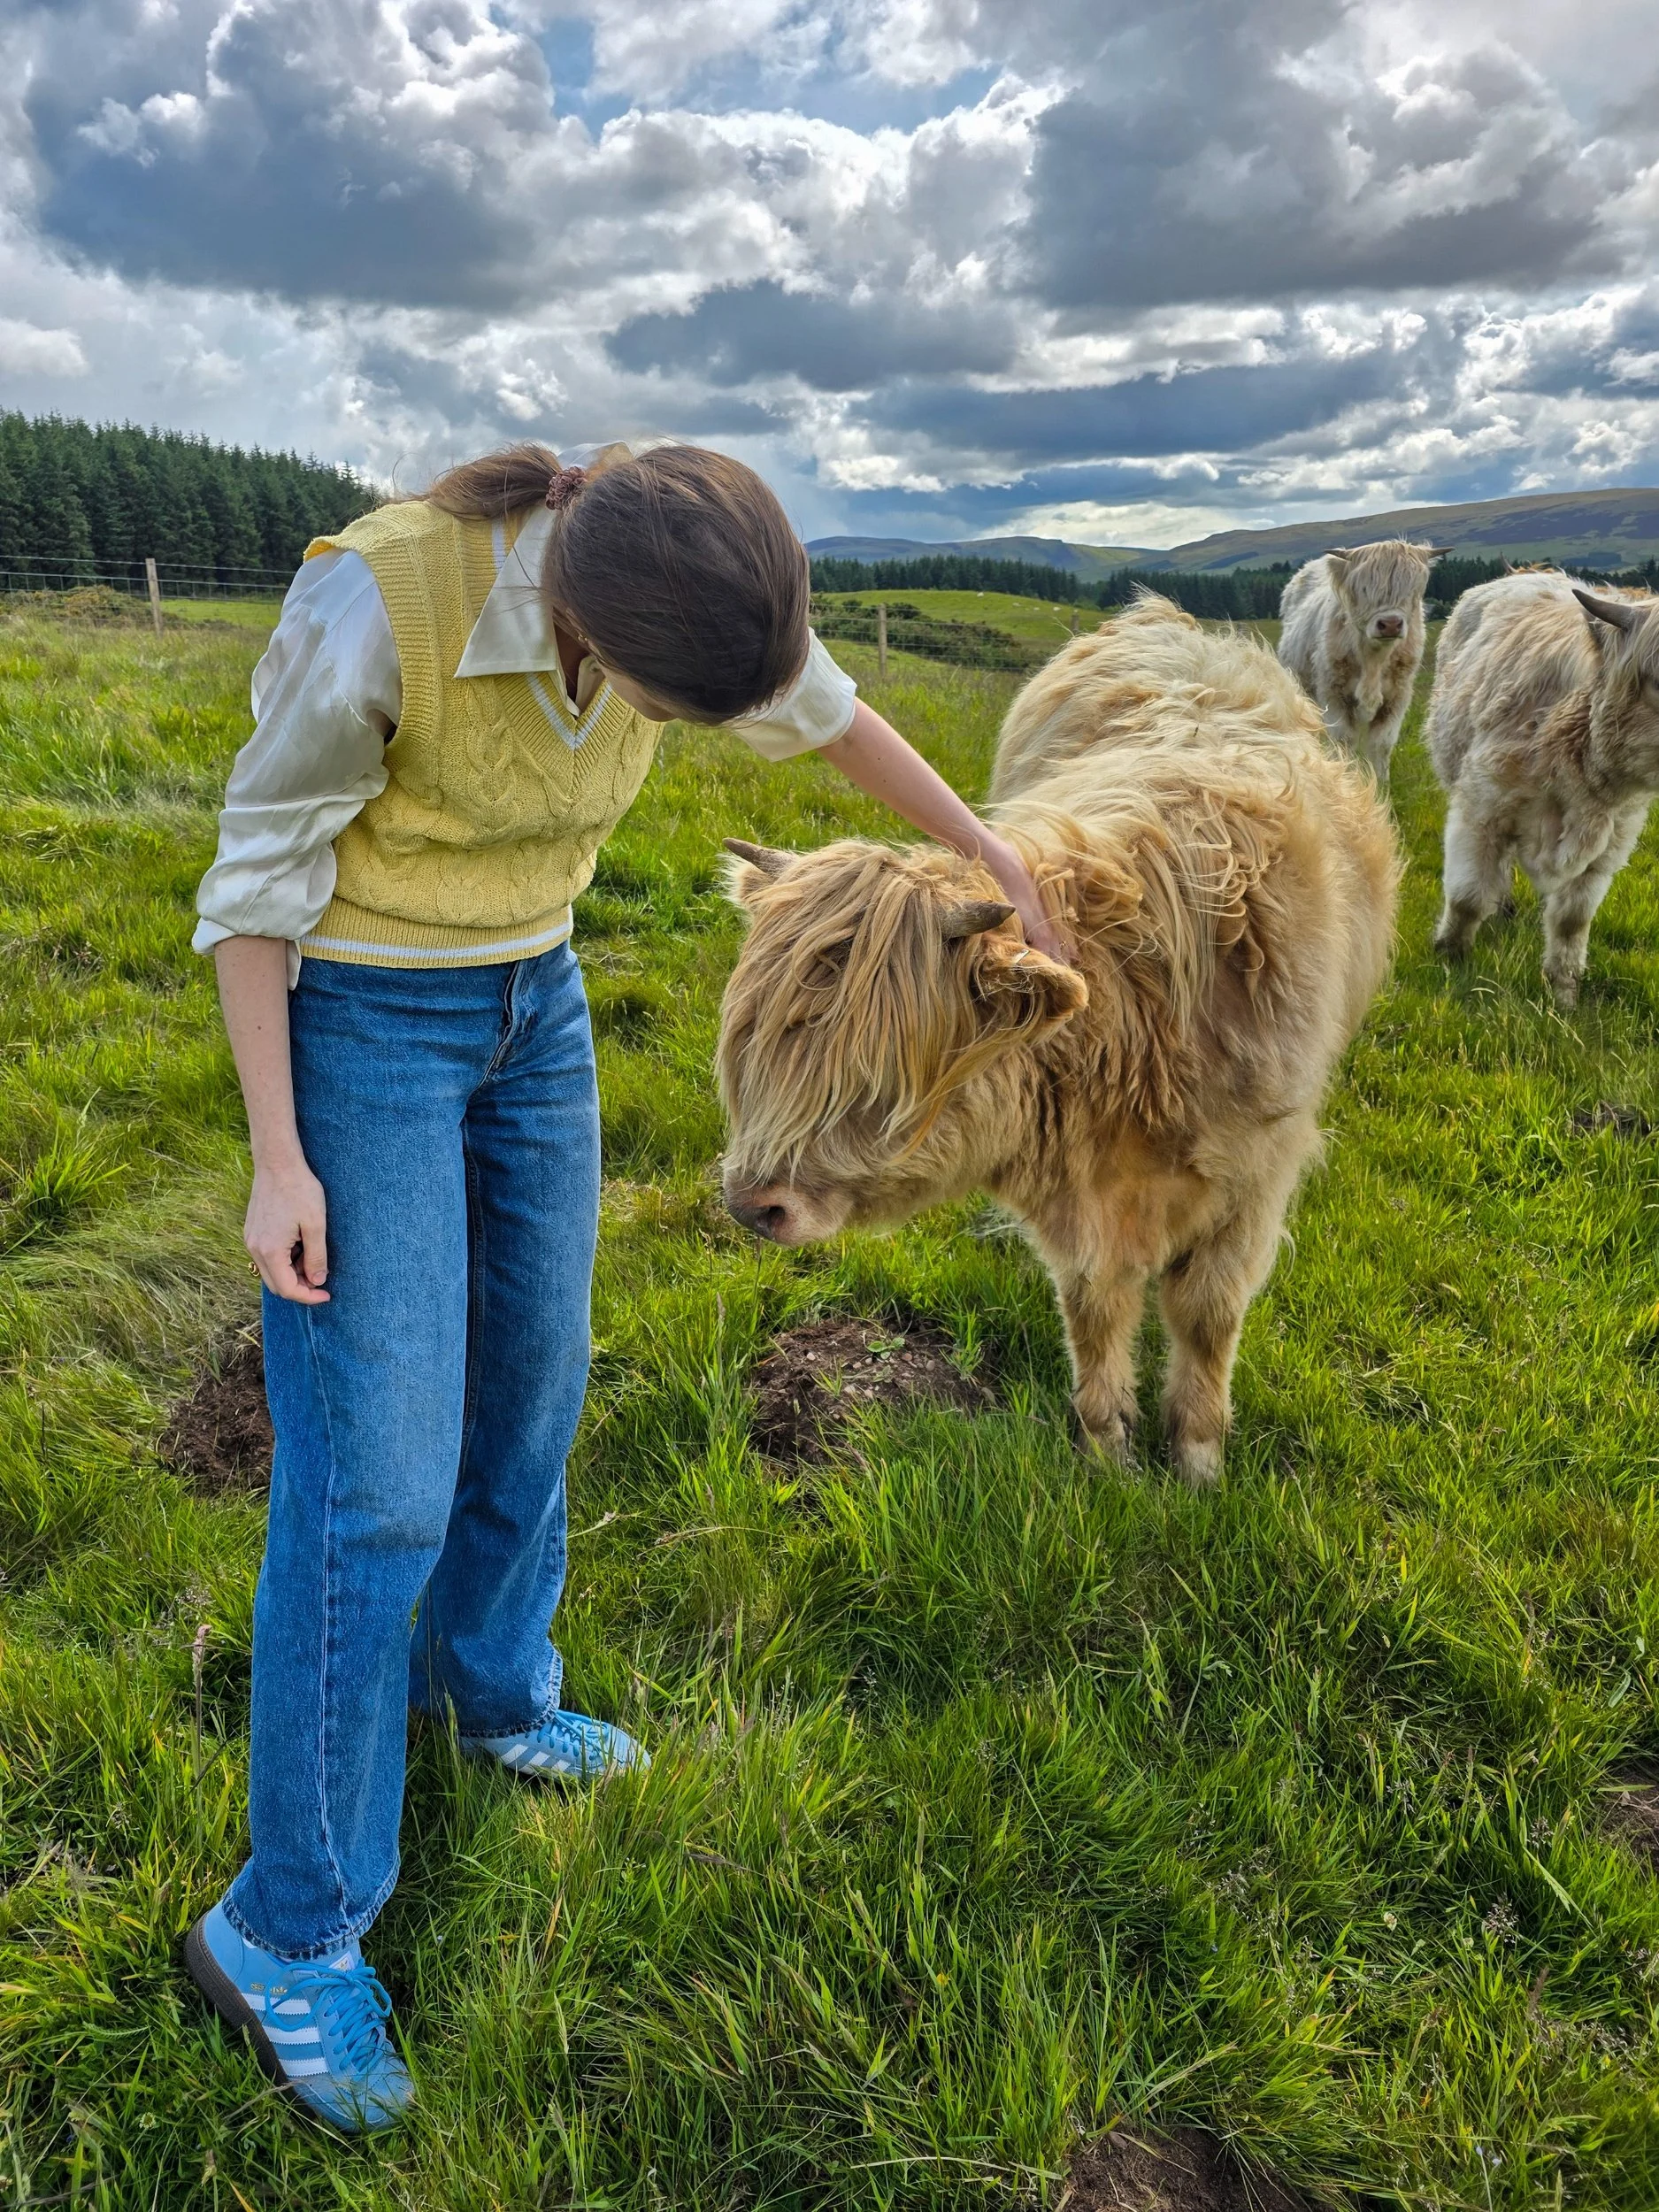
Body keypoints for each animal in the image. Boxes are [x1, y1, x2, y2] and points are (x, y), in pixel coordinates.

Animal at [717, 597, 1399, 1484]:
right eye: (751, 1048)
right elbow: (1096, 1308)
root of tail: (1164, 619)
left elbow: (1206, 1315)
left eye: (875, 1074)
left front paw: (1198, 1461)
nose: (751, 1205)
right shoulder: (1084, 1201)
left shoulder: (1253, 1181)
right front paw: (1107, 1451)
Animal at [1278, 540, 1449, 782]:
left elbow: (1382, 744)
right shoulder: (1334, 695)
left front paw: (1382, 784)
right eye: (1364, 588)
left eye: (1412, 590)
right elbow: (1343, 741)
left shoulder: (1396, 698)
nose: (1390, 624)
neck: (1373, 661)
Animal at [1427, 570, 1659, 1009]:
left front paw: (1564, 992)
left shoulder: (1611, 844)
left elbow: (1571, 921)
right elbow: (1467, 896)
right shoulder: (1481, 809)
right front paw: (1450, 959)